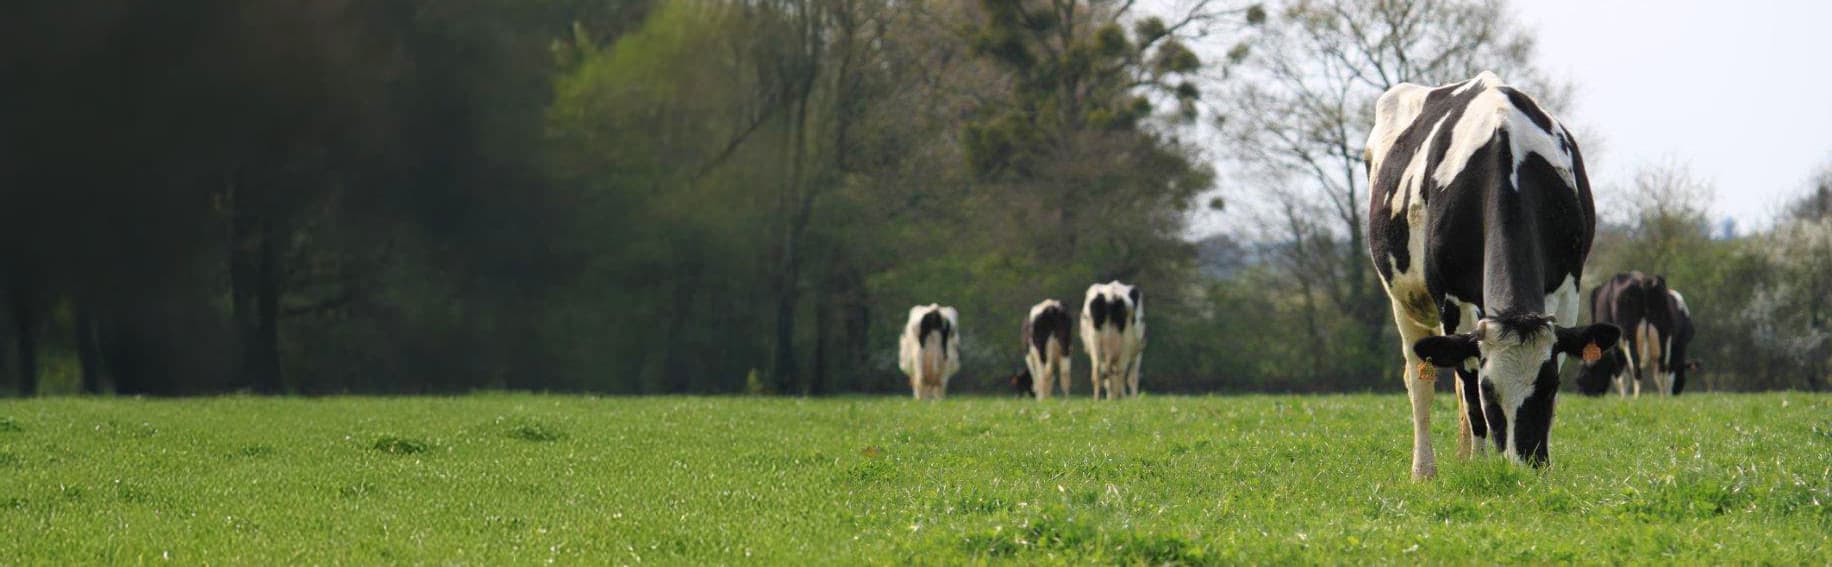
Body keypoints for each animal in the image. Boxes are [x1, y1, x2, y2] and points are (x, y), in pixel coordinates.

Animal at [1366, 71, 1620, 479]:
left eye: (1550, 386)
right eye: (1490, 392)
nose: (1525, 465)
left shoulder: (1568, 291)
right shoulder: (1452, 298)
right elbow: (1467, 384)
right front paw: (1481, 465)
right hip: (1404, 300)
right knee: (1420, 380)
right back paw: (1425, 470)